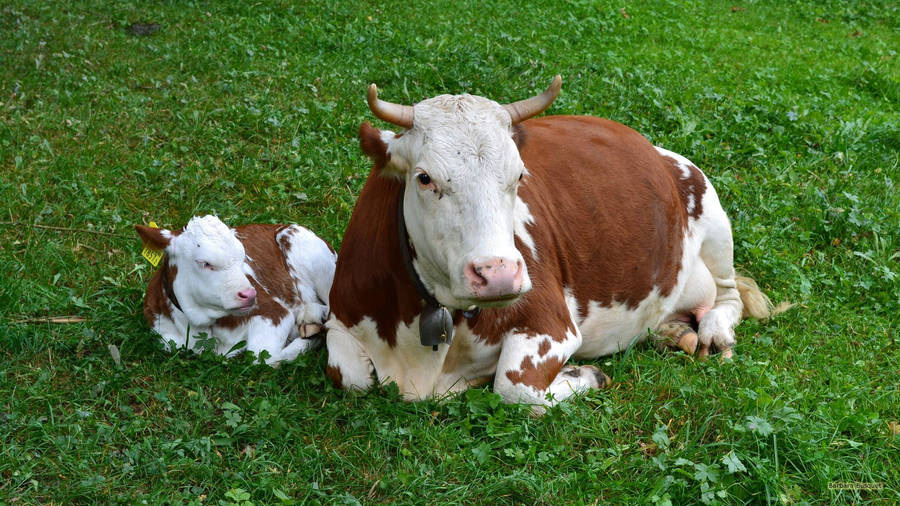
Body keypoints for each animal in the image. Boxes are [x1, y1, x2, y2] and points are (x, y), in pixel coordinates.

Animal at [136, 215, 336, 365]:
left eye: (242, 257)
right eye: (204, 263)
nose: (250, 294)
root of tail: (281, 225)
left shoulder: (275, 312)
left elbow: (261, 356)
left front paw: (310, 339)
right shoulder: (164, 335)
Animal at [326, 76, 783, 412]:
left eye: (519, 175)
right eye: (424, 177)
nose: (498, 275)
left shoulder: (552, 323)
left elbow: (514, 386)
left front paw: (584, 375)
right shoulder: (341, 315)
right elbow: (350, 375)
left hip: (713, 216)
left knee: (729, 297)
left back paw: (711, 333)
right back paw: (672, 332)